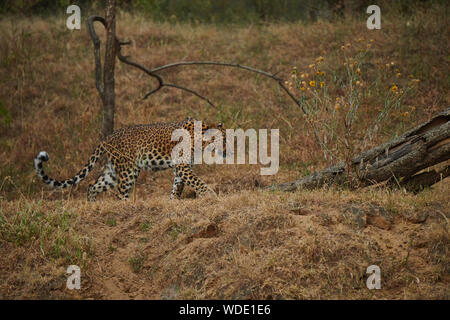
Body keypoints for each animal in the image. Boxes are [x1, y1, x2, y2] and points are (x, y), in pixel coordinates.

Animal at [33, 118, 227, 200]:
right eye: (224, 139)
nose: (228, 150)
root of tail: (108, 137)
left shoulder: (182, 168)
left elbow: (178, 187)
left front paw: (173, 202)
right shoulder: (182, 166)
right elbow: (197, 182)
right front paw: (211, 195)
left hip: (113, 171)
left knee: (92, 185)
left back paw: (92, 205)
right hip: (128, 170)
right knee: (120, 193)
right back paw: (125, 206)